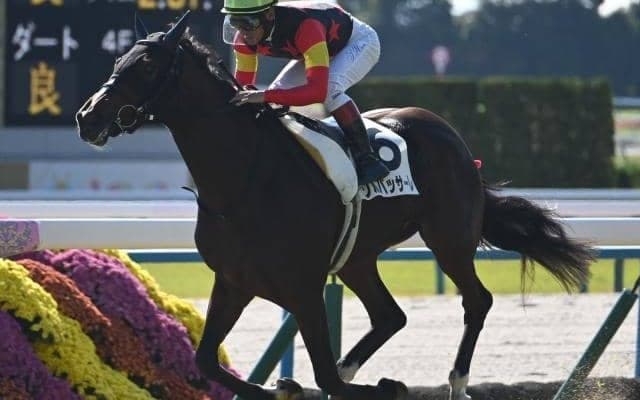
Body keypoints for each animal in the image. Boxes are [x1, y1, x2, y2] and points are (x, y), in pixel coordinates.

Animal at [75, 13, 593, 400]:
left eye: (145, 66)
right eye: (119, 58)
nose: (87, 117)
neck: (245, 180)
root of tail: (457, 142)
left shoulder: (303, 288)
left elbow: (322, 373)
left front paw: (378, 385)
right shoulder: (234, 280)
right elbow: (207, 363)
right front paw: (286, 386)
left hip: (448, 237)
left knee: (476, 300)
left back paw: (457, 382)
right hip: (357, 257)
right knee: (390, 316)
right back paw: (355, 366)